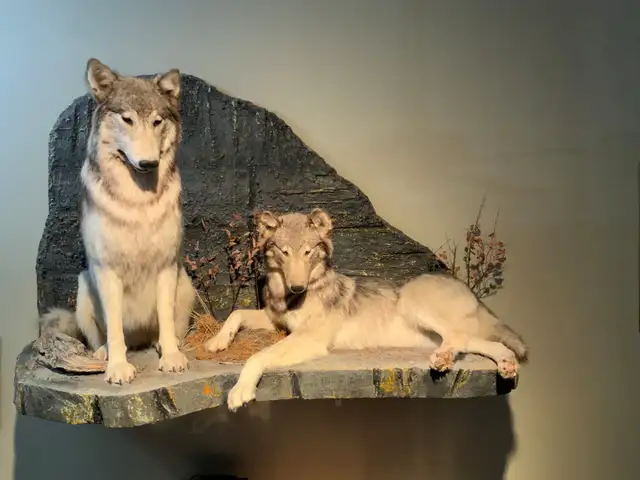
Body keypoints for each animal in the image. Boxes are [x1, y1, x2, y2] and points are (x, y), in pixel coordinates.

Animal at [39, 58, 196, 385]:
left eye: (157, 122)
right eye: (127, 119)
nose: (149, 163)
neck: (138, 200)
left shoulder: (166, 265)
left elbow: (165, 318)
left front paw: (171, 357)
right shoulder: (106, 270)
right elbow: (113, 328)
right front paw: (118, 367)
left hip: (185, 282)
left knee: (167, 330)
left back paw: (163, 344)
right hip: (84, 288)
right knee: (100, 338)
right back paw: (103, 354)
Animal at [205, 208, 528, 411]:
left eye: (308, 252)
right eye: (284, 253)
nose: (297, 287)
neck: (288, 297)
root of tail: (469, 290)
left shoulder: (308, 339)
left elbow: (257, 356)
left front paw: (240, 390)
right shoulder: (275, 321)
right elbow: (235, 314)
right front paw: (216, 342)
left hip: (413, 301)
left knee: (458, 339)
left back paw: (443, 360)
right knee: (491, 345)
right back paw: (506, 365)